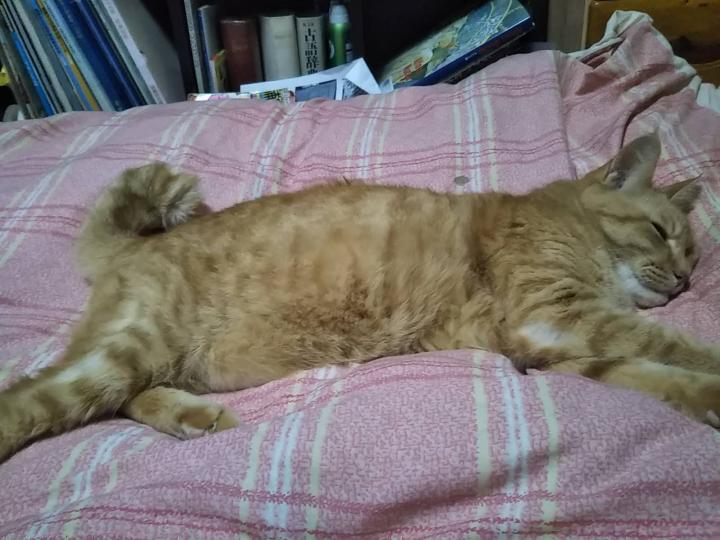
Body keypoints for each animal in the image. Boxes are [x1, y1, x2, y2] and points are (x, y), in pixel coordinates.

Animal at [0, 132, 719, 464]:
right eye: (662, 233)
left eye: (693, 256)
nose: (685, 280)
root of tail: (129, 248)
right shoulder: (555, 313)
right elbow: (674, 345)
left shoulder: (554, 342)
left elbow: (654, 371)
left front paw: (702, 400)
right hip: (134, 343)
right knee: (39, 394)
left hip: (161, 357)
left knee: (123, 398)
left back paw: (188, 416)